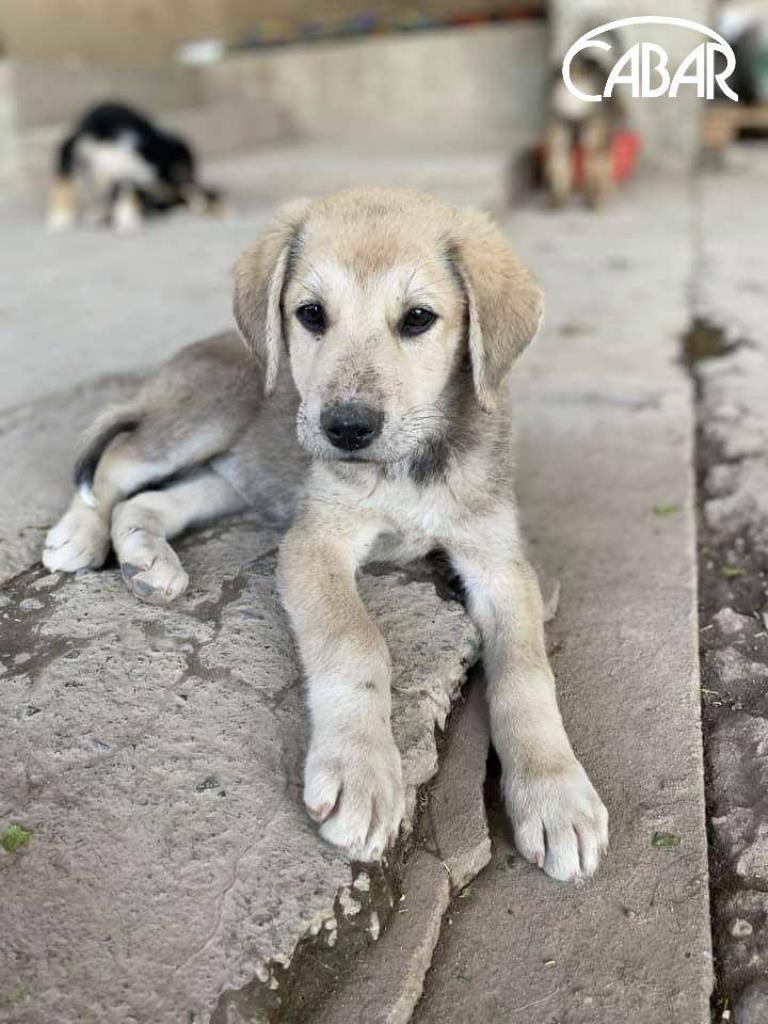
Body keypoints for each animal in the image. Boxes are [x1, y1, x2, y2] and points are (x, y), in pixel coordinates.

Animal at [43, 190, 606, 880]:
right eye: (311, 314)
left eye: (418, 319)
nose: (347, 429)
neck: (406, 468)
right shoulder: (315, 541)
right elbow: (355, 641)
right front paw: (360, 772)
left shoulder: (499, 562)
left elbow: (527, 672)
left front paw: (555, 792)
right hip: (208, 413)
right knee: (118, 463)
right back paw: (77, 532)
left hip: (235, 477)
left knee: (152, 500)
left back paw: (148, 561)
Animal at [47, 101, 222, 232]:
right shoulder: (70, 146)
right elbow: (63, 180)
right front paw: (60, 216)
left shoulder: (130, 178)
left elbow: (126, 194)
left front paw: (126, 218)